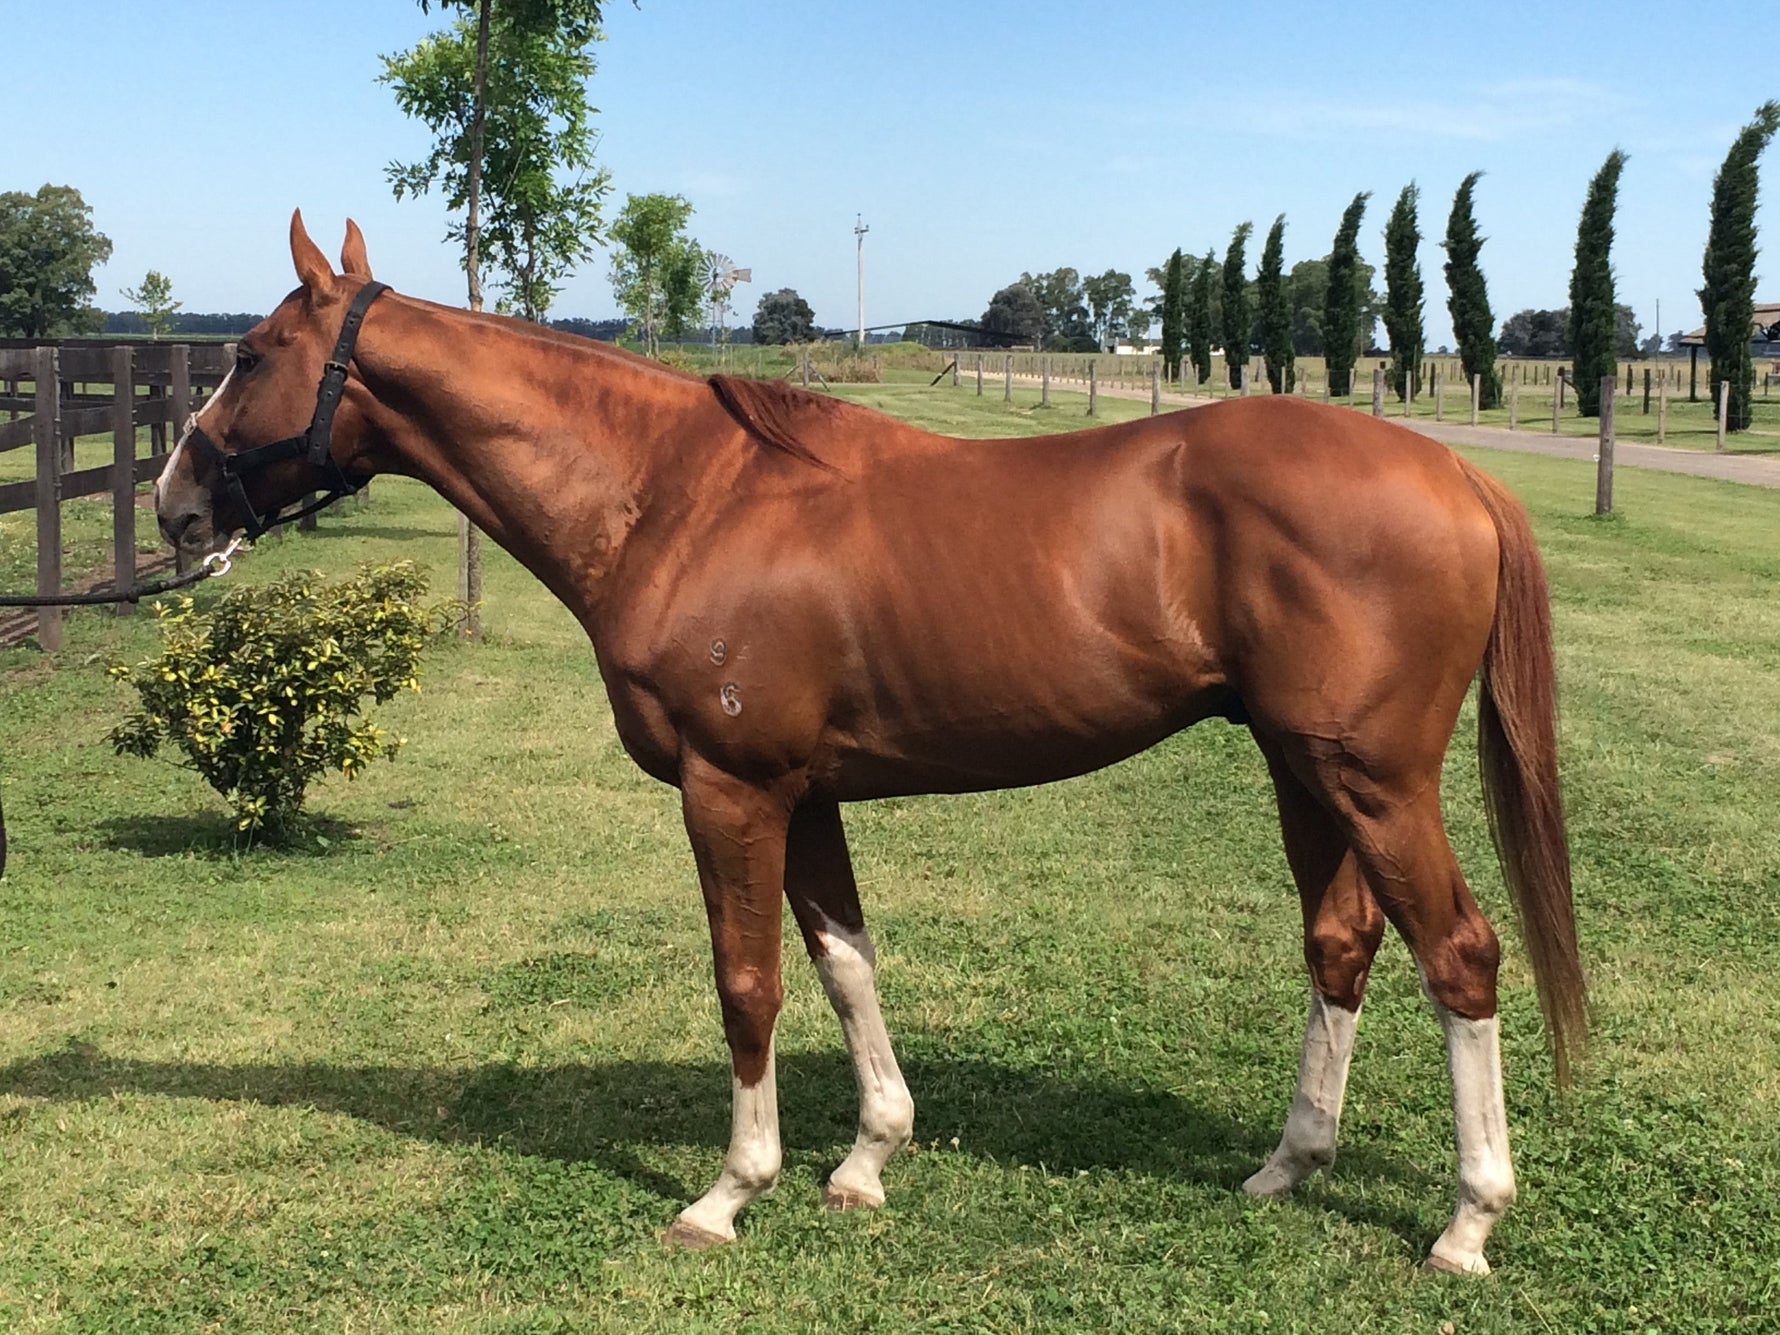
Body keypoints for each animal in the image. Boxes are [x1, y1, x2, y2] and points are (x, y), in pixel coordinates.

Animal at [154, 214, 1583, 1273]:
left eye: (248, 353)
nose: (174, 506)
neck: (677, 497)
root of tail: (1457, 475)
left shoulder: (730, 791)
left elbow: (748, 983)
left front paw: (728, 1194)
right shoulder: (807, 795)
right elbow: (844, 962)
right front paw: (866, 1160)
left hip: (1373, 778)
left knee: (1459, 955)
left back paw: (1466, 1223)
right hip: (1304, 769)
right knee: (1341, 942)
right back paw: (1288, 1166)